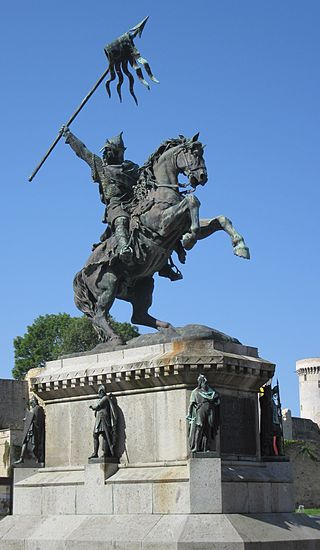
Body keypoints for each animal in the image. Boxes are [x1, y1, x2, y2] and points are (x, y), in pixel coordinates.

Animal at [73, 135, 250, 340]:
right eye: (193, 153)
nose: (202, 177)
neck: (162, 191)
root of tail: (81, 274)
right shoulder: (162, 225)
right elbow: (192, 201)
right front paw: (190, 239)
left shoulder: (181, 225)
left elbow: (220, 219)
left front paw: (240, 247)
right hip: (108, 284)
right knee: (100, 315)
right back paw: (117, 338)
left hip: (144, 285)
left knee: (138, 316)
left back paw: (170, 329)